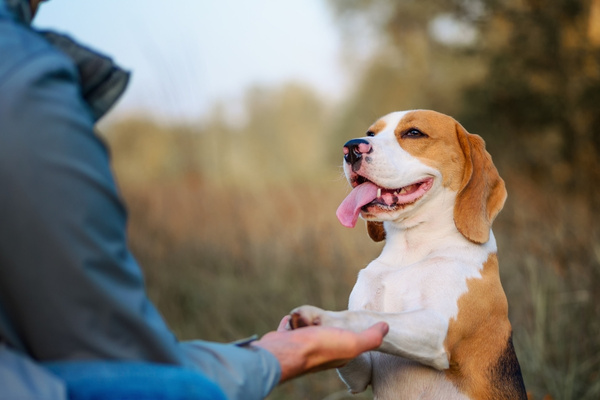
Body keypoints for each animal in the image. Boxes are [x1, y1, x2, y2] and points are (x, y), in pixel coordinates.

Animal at [290, 110, 524, 400]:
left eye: (414, 133)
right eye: (371, 133)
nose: (351, 148)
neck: (411, 250)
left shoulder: (436, 329)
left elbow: (370, 317)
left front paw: (321, 318)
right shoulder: (361, 374)